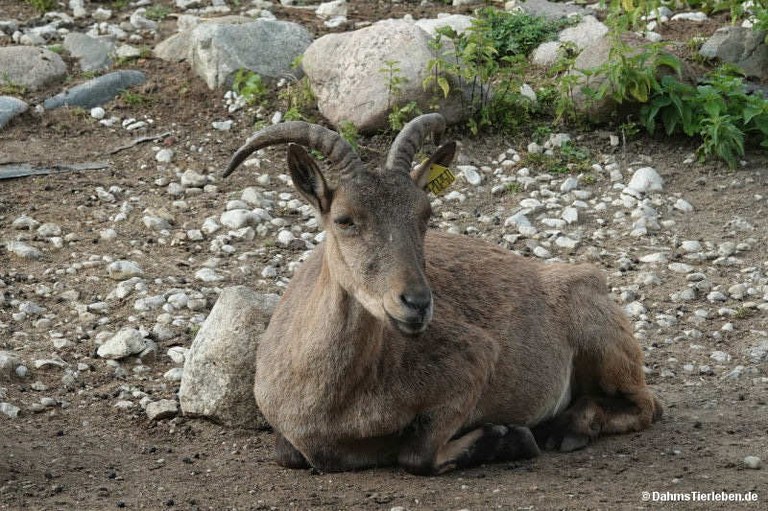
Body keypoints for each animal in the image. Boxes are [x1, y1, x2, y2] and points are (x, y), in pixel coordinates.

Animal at [224, 113, 662, 475]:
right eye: (345, 219)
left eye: (426, 214)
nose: (417, 303)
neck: (333, 404)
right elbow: (287, 453)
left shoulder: (474, 360)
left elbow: (417, 455)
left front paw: (509, 437)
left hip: (597, 335)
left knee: (645, 405)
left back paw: (567, 427)